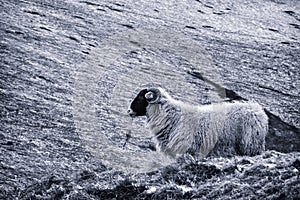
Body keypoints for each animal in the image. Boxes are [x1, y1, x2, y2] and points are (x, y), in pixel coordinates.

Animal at [127, 86, 268, 159]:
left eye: (140, 98)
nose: (129, 111)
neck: (172, 116)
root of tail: (258, 110)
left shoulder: (187, 149)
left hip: (250, 144)